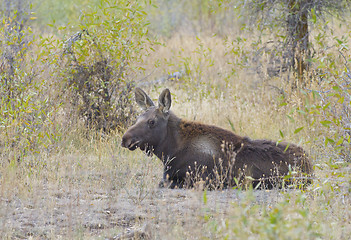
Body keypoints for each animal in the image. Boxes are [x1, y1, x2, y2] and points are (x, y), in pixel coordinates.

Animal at [121, 88, 314, 189]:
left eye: (151, 121)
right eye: (137, 118)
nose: (125, 139)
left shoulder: (199, 179)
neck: (169, 151)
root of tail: (310, 165)